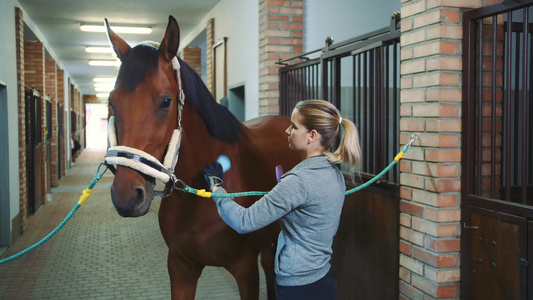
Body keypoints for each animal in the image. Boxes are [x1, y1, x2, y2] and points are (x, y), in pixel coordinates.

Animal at [104, 16, 300, 300]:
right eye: (112, 102)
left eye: (166, 101)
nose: (127, 196)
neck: (200, 198)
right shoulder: (180, 267)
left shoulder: (245, 270)